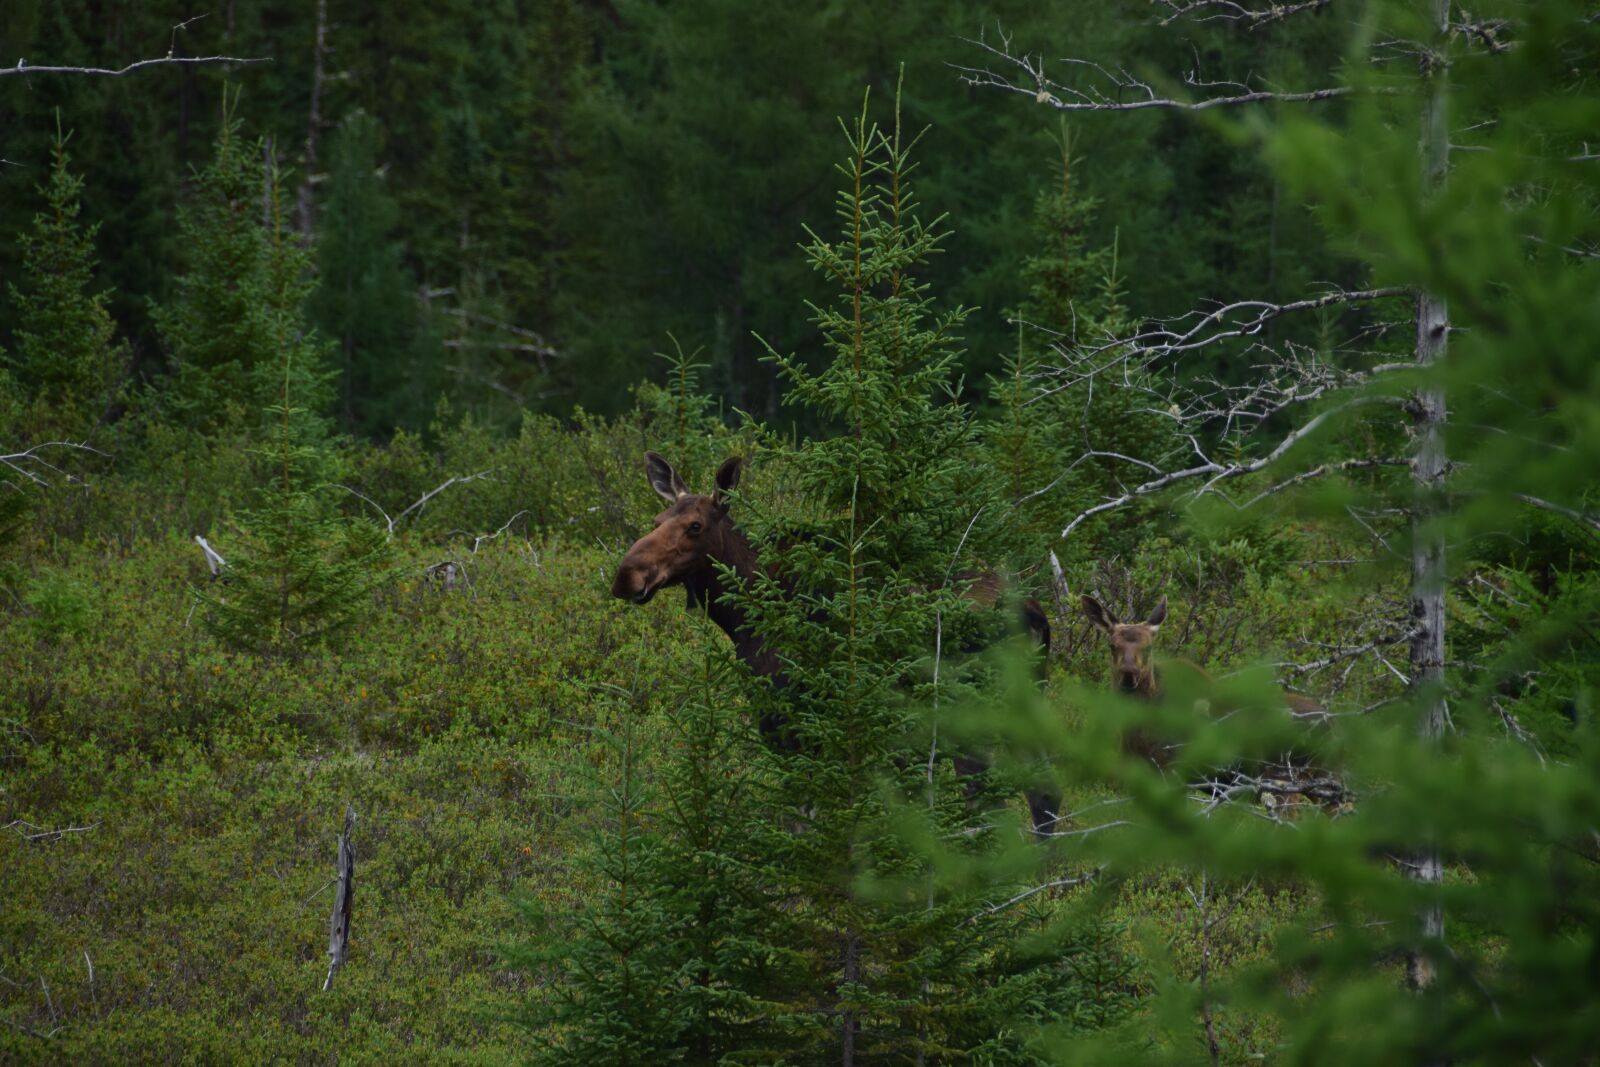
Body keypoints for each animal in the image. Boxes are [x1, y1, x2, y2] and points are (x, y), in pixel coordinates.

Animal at [611, 452, 1060, 834]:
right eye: (656, 518)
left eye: (695, 526)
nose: (627, 575)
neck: (744, 614)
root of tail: (1034, 614)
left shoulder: (787, 721)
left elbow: (801, 822)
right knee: (1043, 795)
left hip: (968, 713)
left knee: (989, 805)